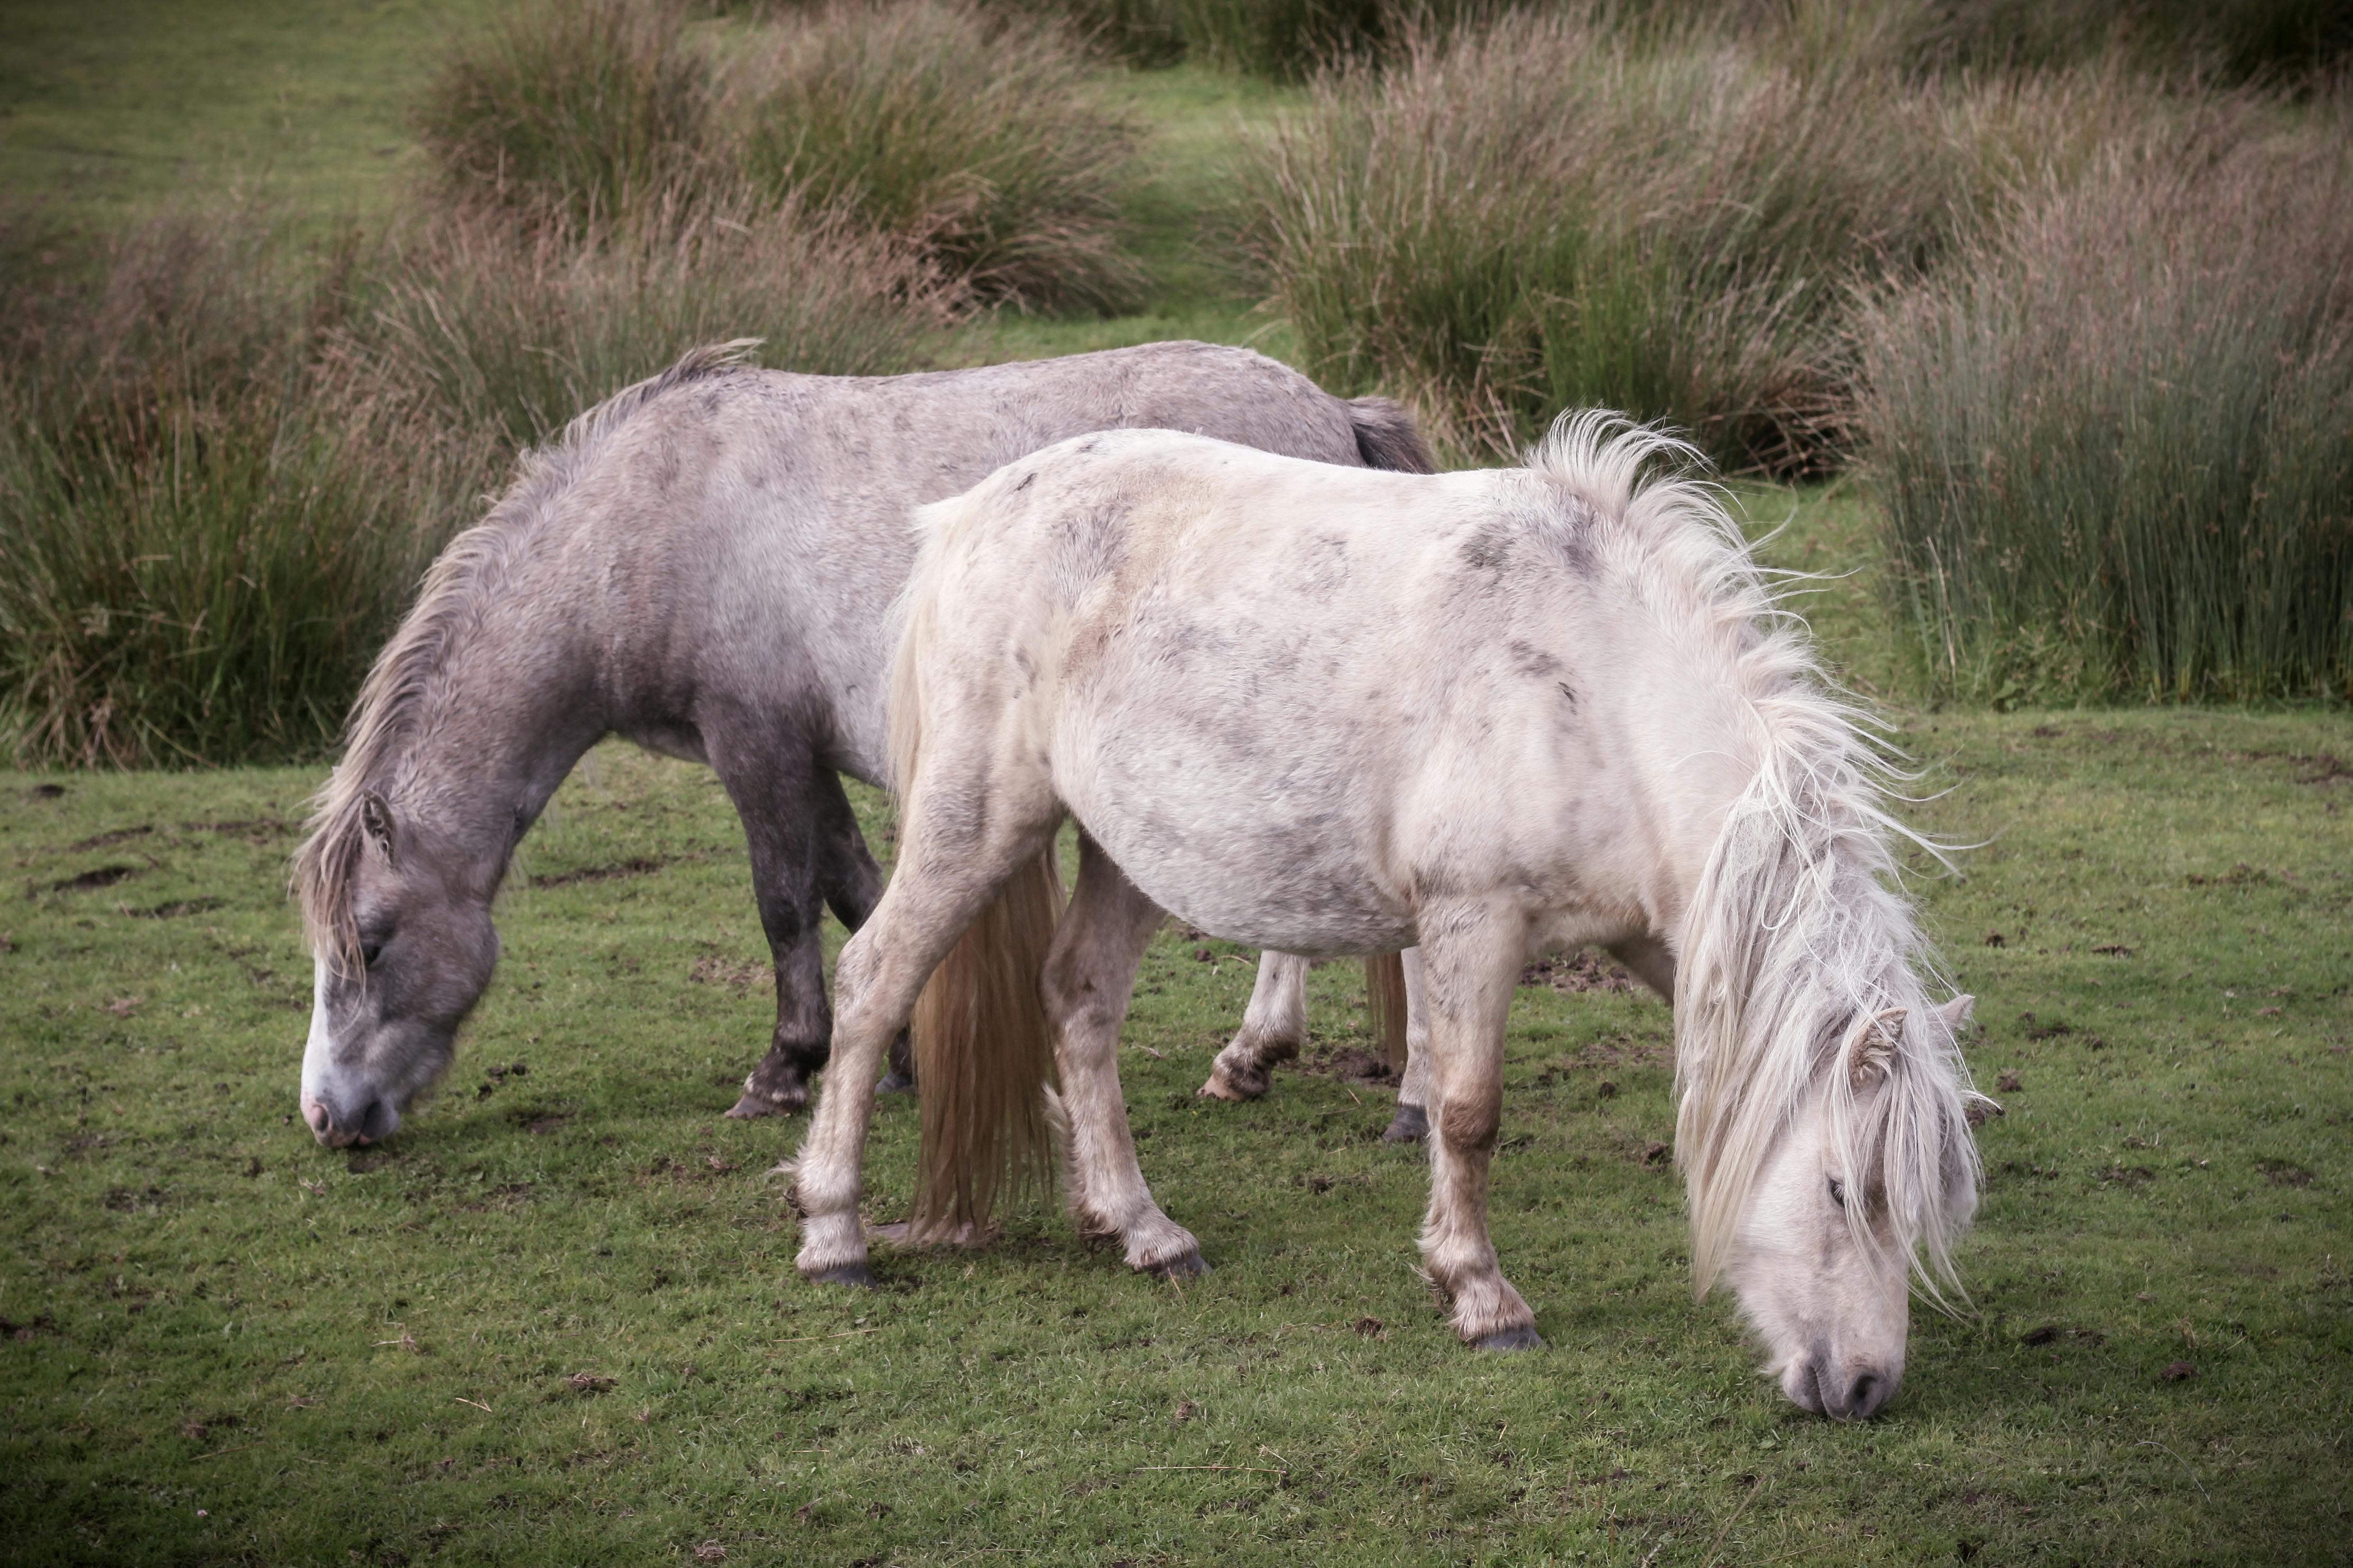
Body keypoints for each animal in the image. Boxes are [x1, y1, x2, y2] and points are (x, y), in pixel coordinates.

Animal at [290, 340, 1429, 1149]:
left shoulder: (754, 745)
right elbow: (857, 891)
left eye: (373, 942)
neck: (649, 524)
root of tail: (1333, 412)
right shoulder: (808, 757)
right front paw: (897, 1057)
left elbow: (785, 903)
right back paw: (1259, 1061)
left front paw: (783, 1070)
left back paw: (1378, 1091)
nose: (325, 1116)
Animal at [785, 414, 1985, 1419]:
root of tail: (969, 515)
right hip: (976, 820)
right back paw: (834, 1232)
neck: (1601, 695)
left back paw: (1143, 1230)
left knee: (1078, 1001)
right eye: (1842, 1188)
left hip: (1128, 849)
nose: (1866, 1386)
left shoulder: (1658, 939)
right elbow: (1465, 1112)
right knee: (875, 980)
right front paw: (1481, 1295)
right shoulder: (1470, 921)